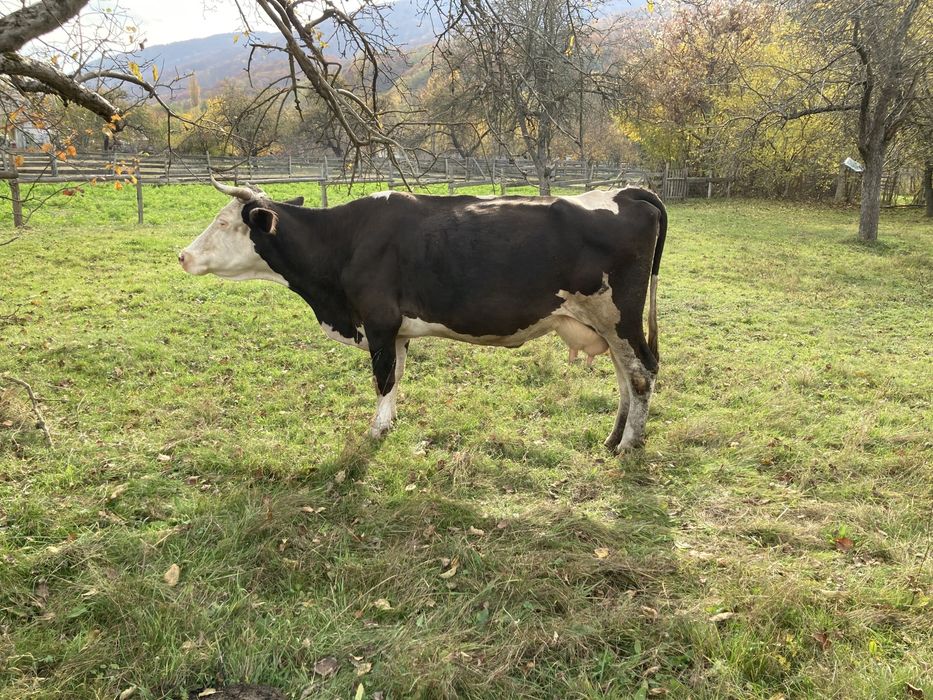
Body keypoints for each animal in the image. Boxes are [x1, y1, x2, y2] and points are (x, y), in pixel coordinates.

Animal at [179, 177, 667, 453]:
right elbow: (396, 376)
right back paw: (614, 437)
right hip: (606, 322)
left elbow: (382, 378)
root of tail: (625, 191)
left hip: (618, 314)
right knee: (625, 377)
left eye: (224, 223)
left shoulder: (378, 321)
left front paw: (375, 432)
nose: (182, 255)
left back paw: (629, 445)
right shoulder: (397, 331)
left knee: (641, 374)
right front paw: (389, 423)